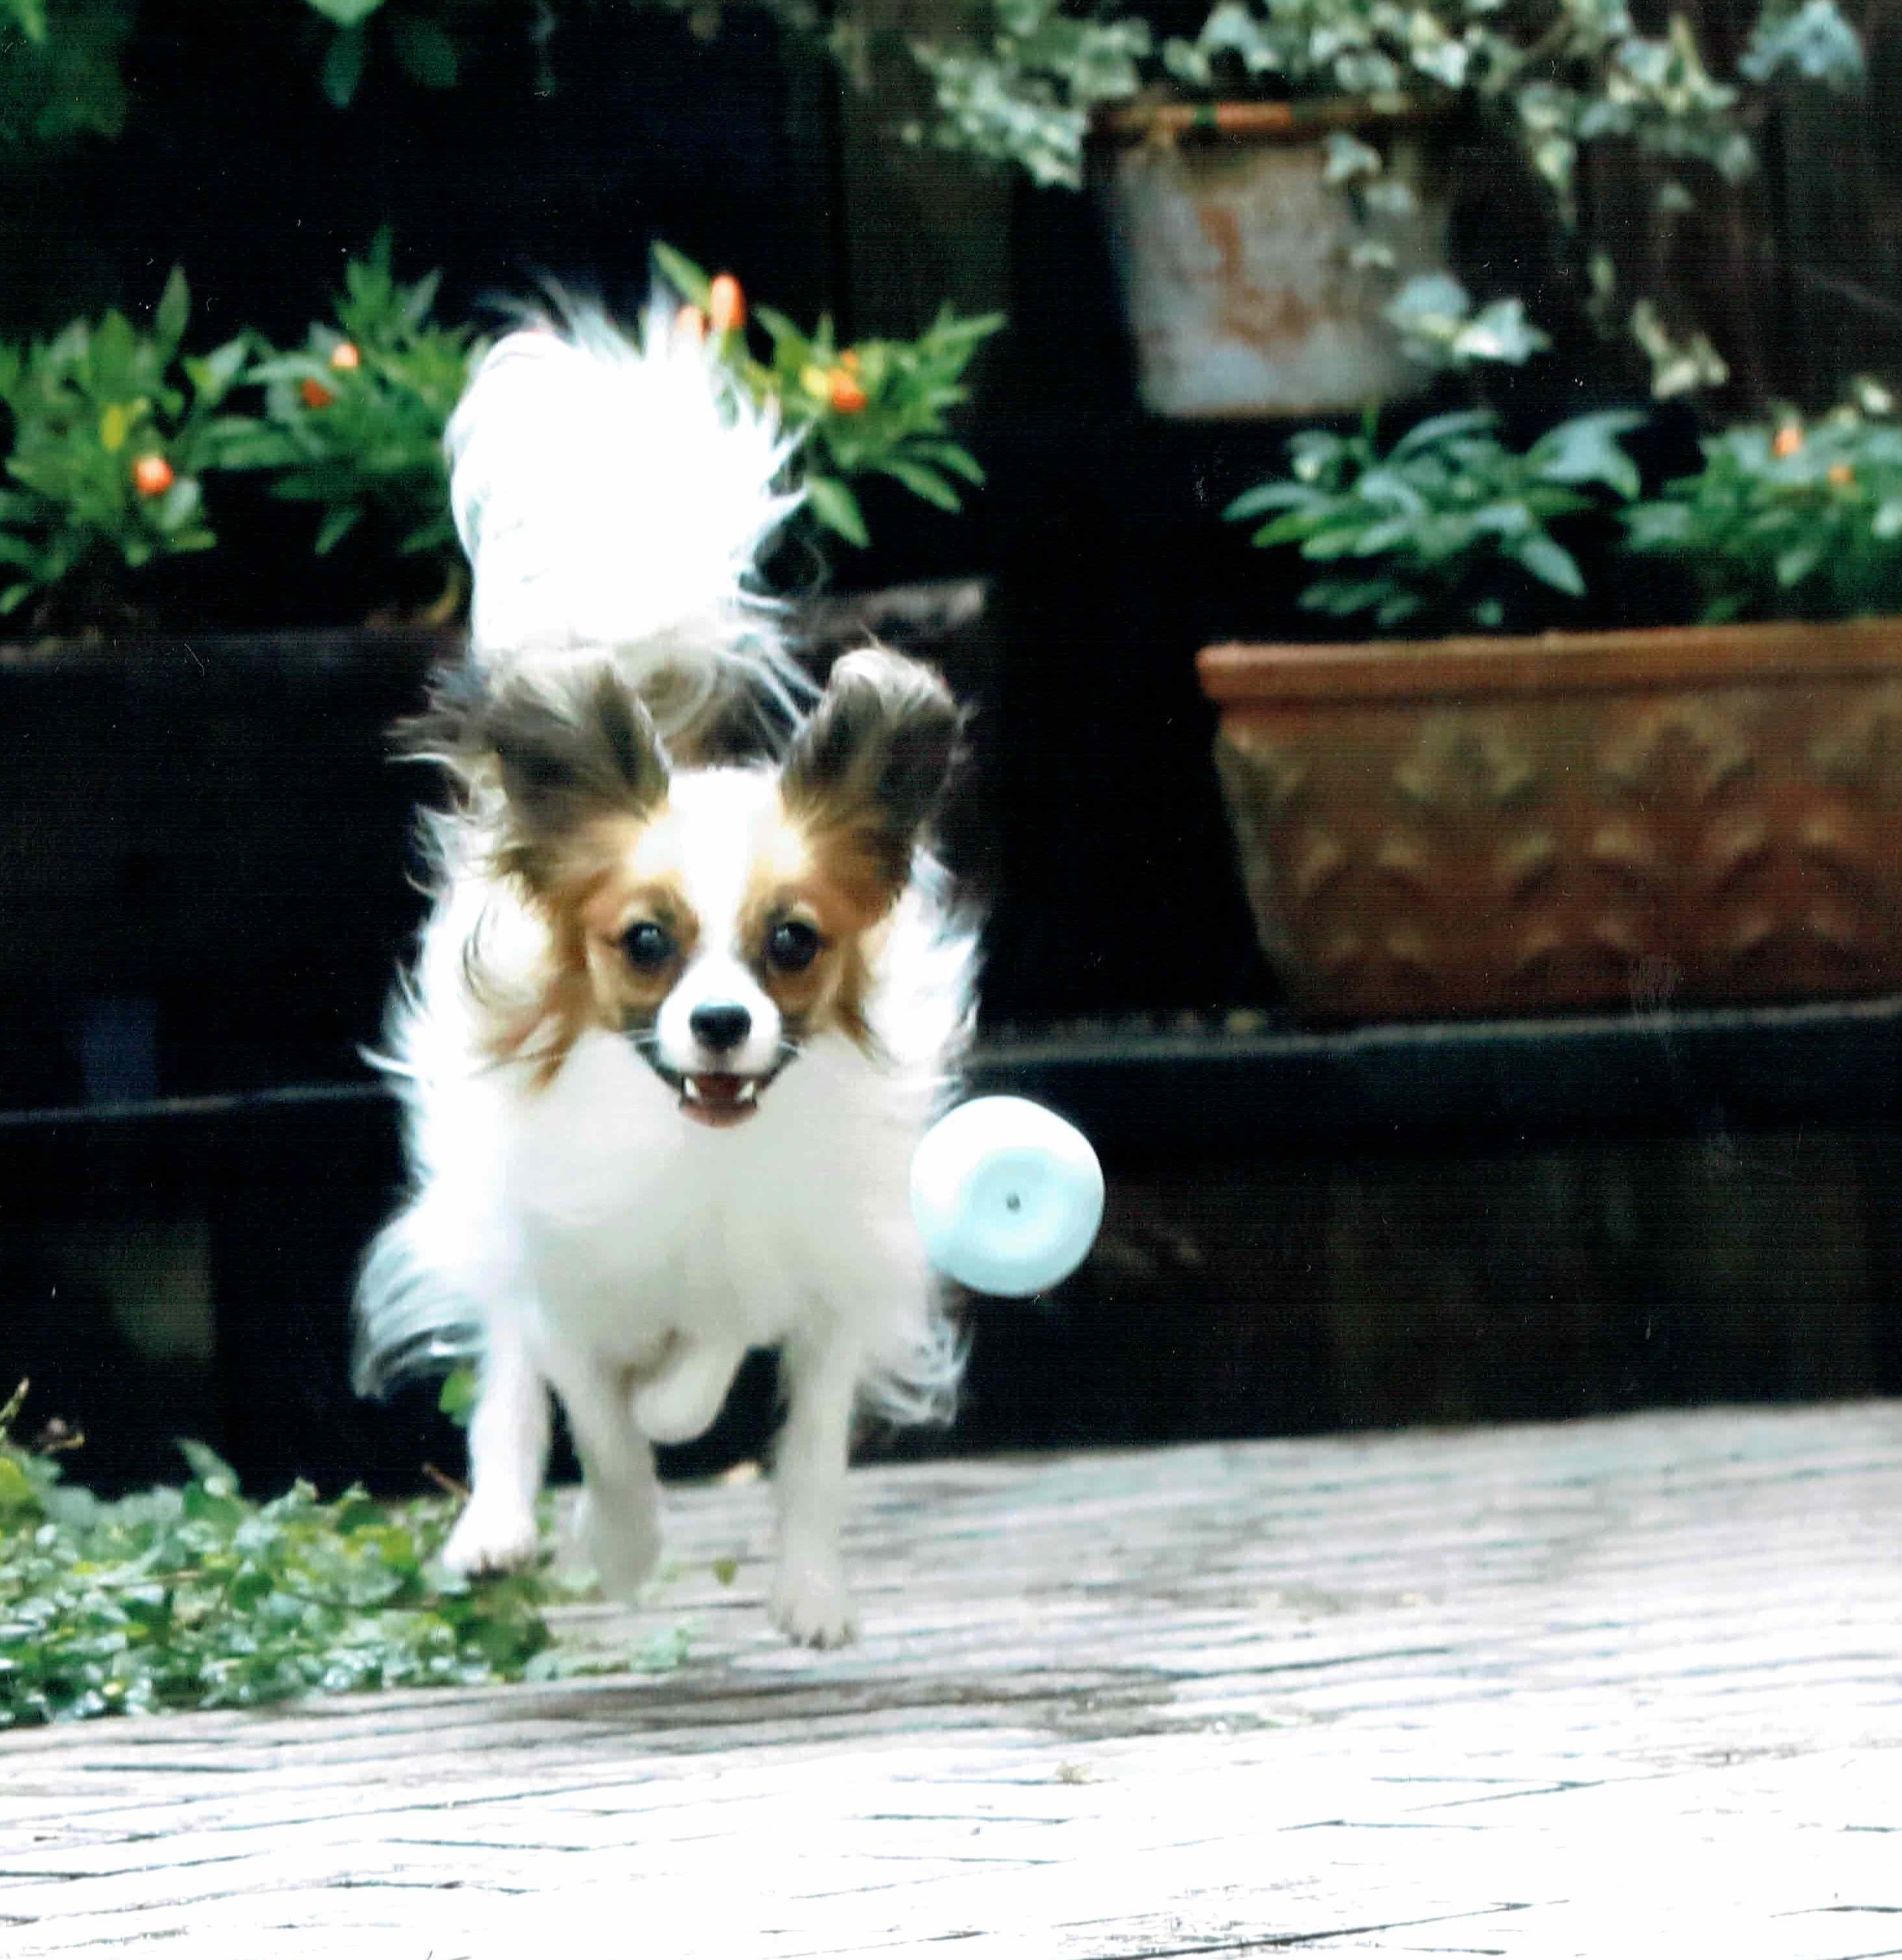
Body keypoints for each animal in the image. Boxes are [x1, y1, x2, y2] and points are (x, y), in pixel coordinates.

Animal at [354, 309, 975, 1654]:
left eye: (791, 943)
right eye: (647, 944)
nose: (723, 1022)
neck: (699, 1154)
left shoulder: (825, 1270)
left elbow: (786, 1430)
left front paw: (807, 1589)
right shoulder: (567, 1265)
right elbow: (595, 1418)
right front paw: (624, 1543)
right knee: (509, 1368)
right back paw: (497, 1527)